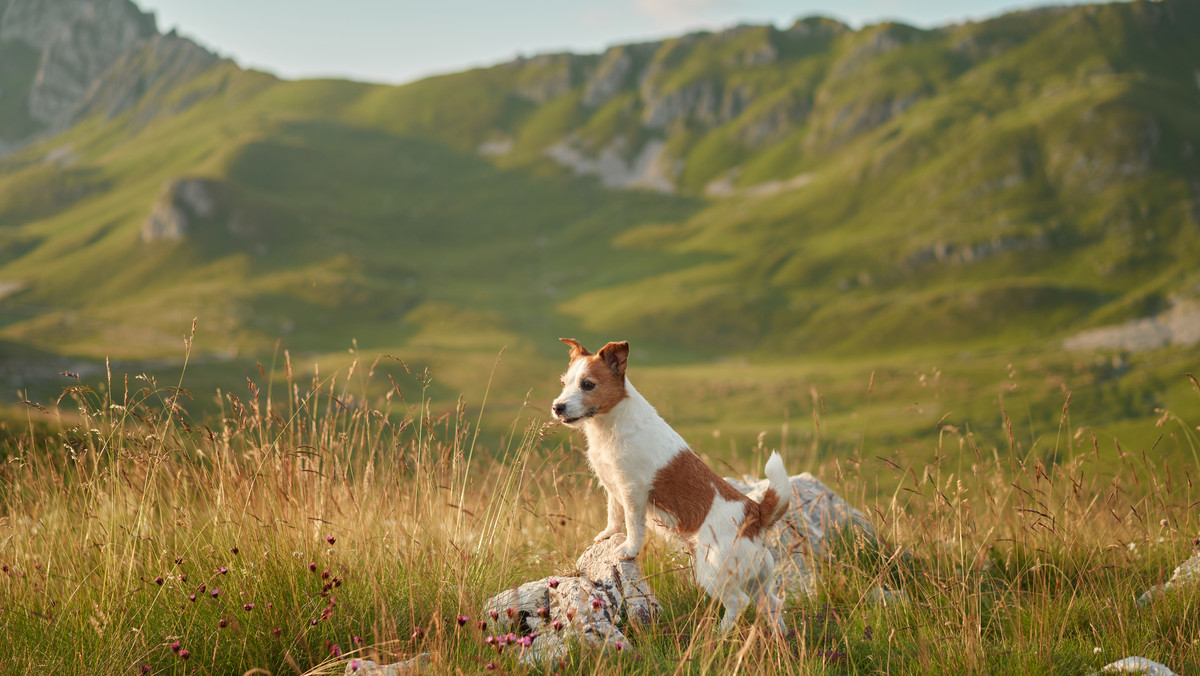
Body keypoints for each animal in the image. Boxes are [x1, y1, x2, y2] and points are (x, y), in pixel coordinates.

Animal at [554, 338, 796, 633]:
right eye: (564, 382)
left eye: (587, 384)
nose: (557, 407)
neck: (612, 421)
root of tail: (756, 514)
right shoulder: (613, 486)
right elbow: (614, 515)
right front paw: (607, 535)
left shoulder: (632, 490)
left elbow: (633, 525)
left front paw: (628, 550)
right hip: (757, 578)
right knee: (772, 603)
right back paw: (780, 637)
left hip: (713, 571)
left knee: (738, 604)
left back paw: (717, 635)